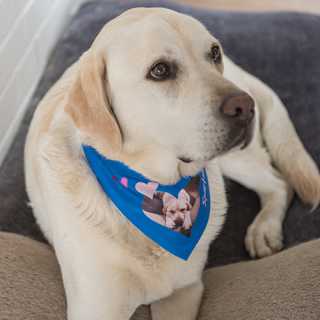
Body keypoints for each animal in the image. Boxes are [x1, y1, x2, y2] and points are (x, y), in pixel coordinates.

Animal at [24, 6, 320, 320]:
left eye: (214, 53)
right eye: (160, 70)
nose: (245, 106)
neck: (153, 183)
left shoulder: (185, 291)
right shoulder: (95, 308)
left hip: (236, 160)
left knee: (280, 183)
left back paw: (264, 229)